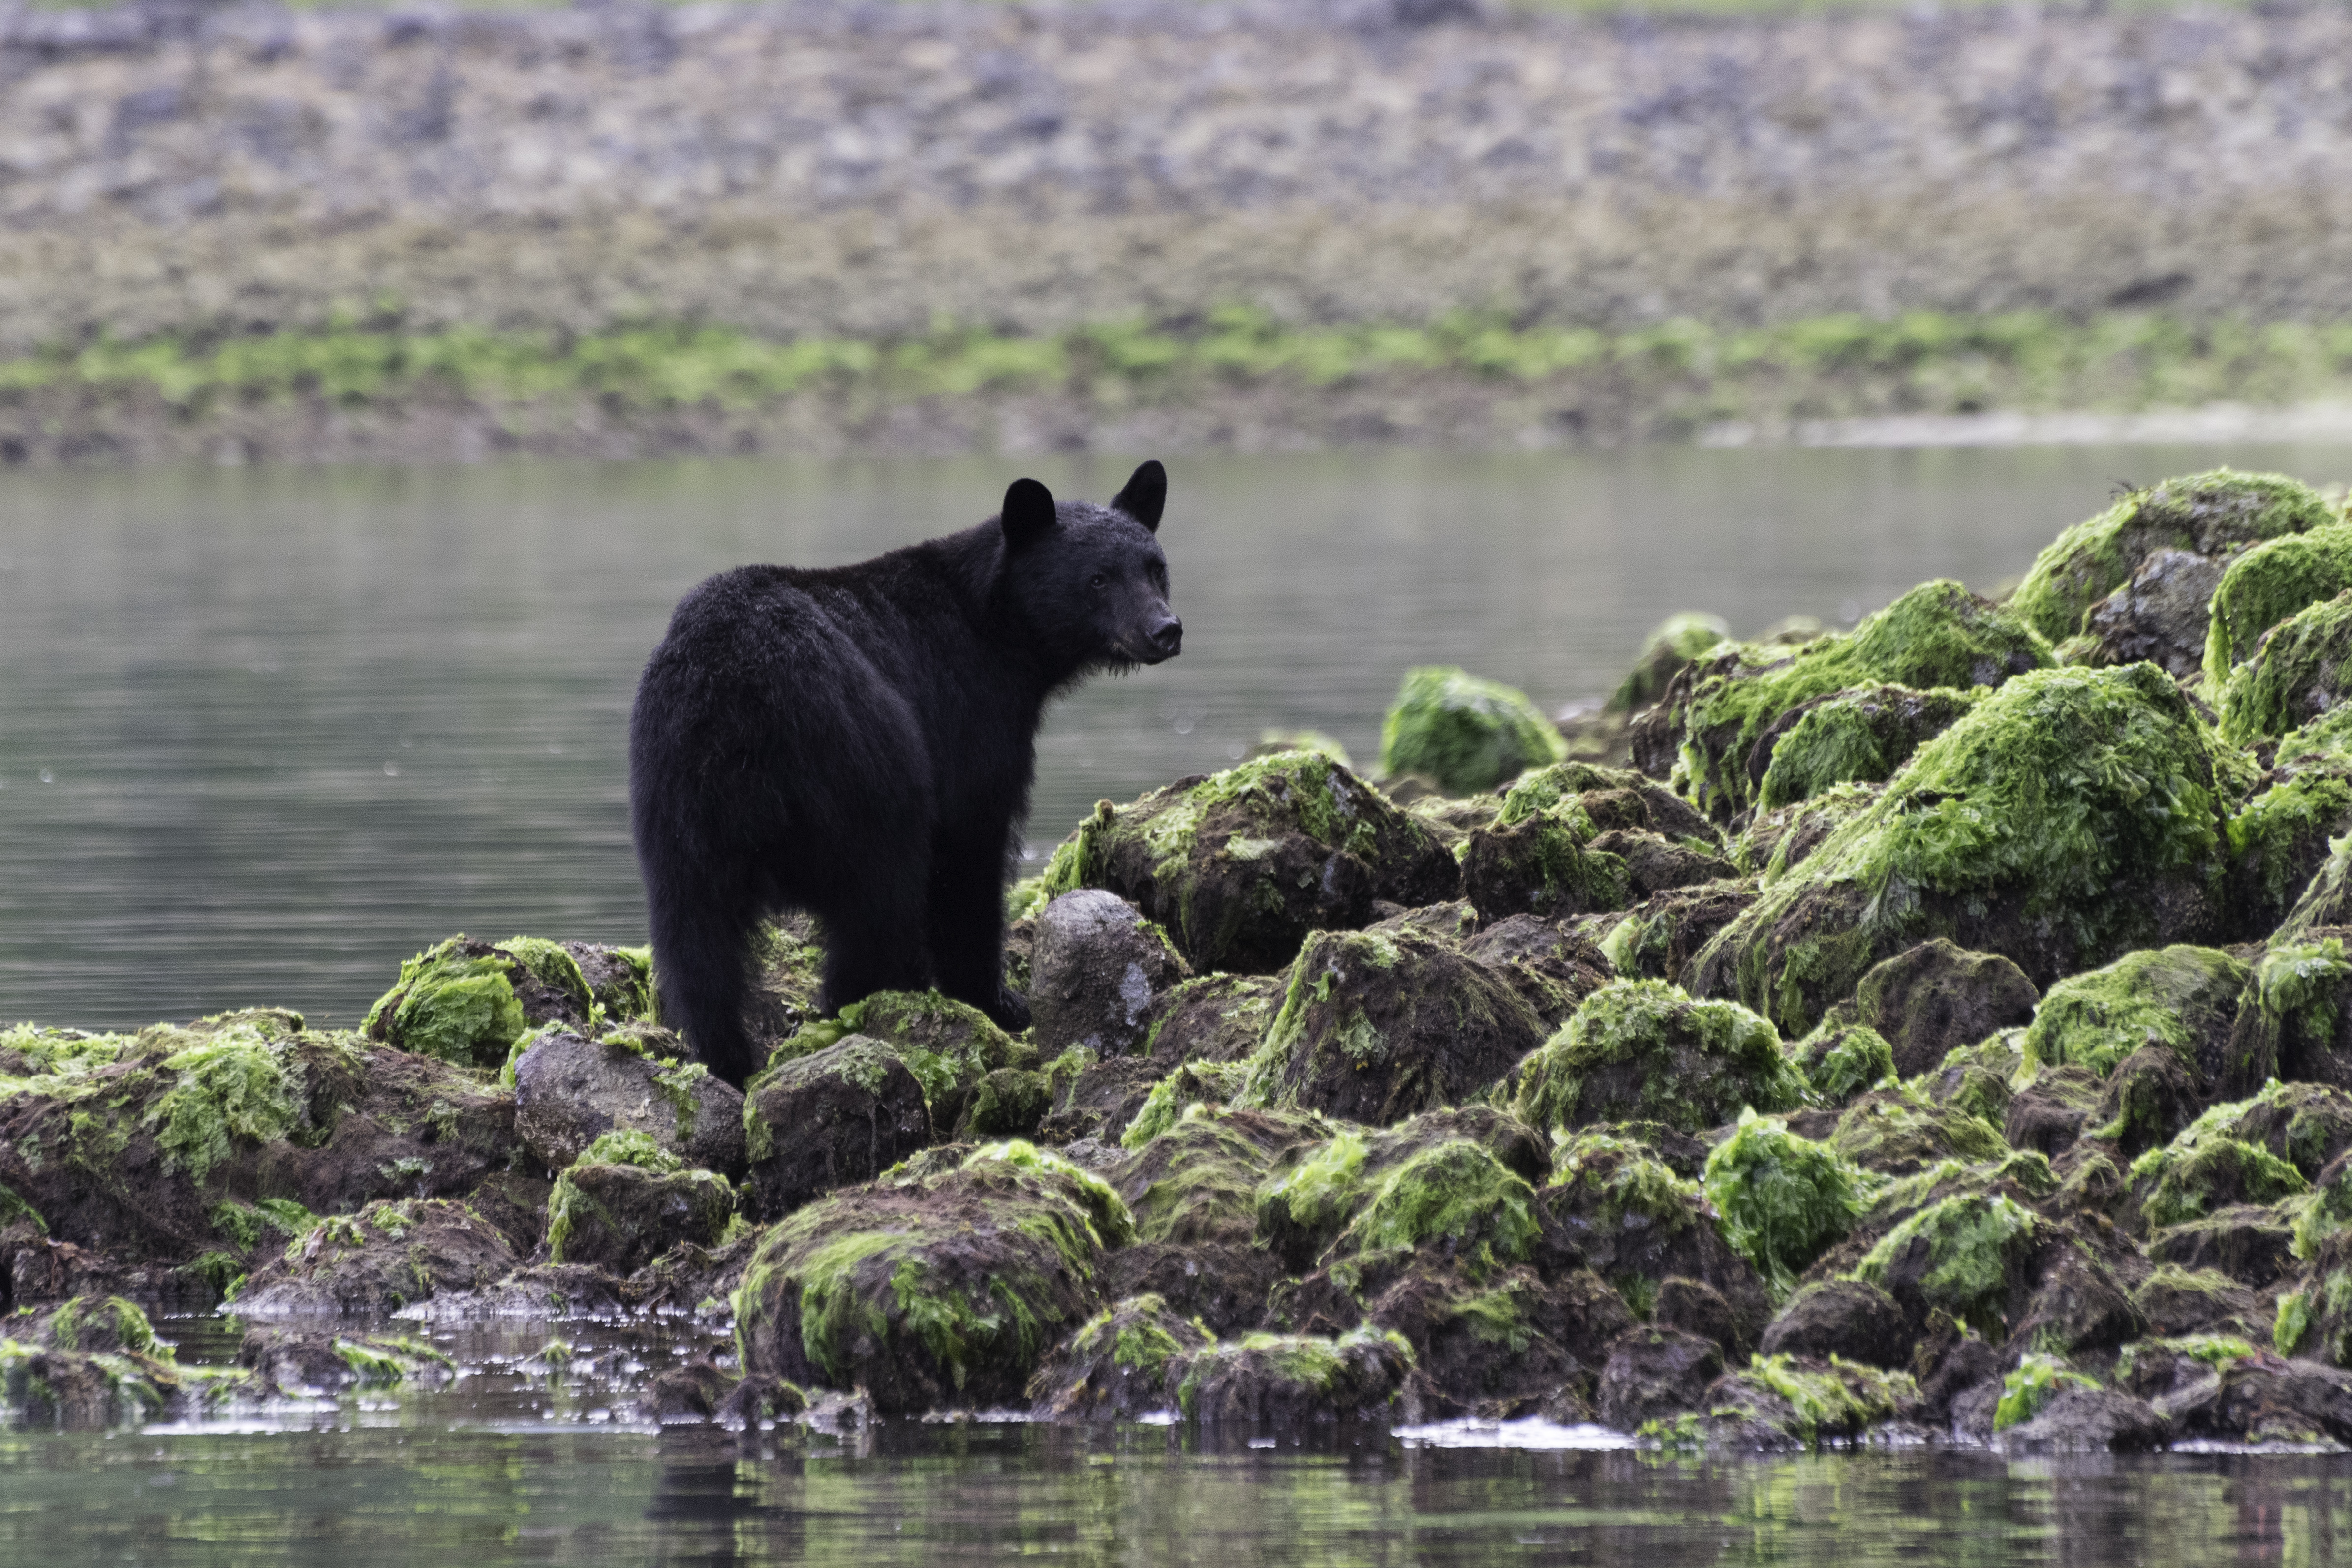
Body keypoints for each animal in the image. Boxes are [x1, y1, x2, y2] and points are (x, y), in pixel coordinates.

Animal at [630, 461, 1185, 1086]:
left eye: (1155, 568)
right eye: (1097, 579)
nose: (1165, 629)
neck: (995, 626)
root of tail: (738, 694)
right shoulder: (969, 712)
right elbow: (970, 851)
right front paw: (999, 1000)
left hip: (678, 797)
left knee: (696, 937)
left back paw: (727, 1058)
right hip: (862, 762)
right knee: (879, 893)